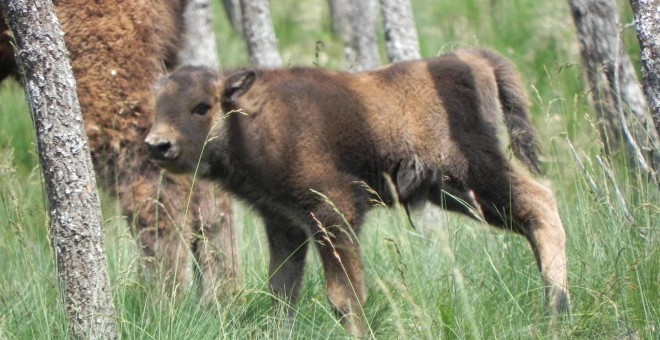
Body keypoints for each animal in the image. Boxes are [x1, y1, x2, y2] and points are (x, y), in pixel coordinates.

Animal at [147, 49, 568, 336]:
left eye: (202, 106)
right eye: (156, 106)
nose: (157, 145)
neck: (249, 119)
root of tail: (468, 58)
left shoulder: (334, 213)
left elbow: (344, 297)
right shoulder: (284, 223)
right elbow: (282, 293)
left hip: (474, 173)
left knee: (541, 203)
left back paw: (557, 307)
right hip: (454, 191)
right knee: (531, 217)